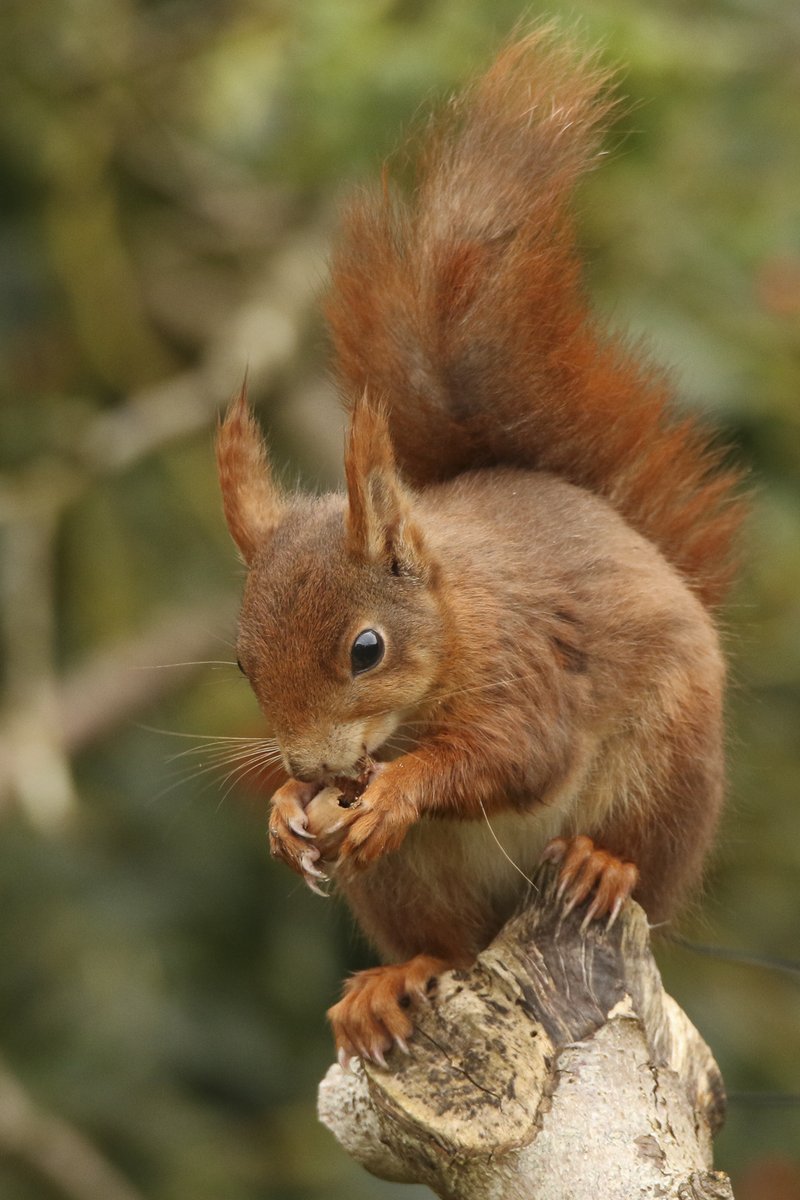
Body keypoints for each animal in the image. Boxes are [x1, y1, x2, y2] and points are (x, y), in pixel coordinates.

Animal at [212, 32, 743, 1070]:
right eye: (245, 664)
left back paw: (600, 863)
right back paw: (391, 985)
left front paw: (399, 790)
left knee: (636, 861)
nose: (318, 771)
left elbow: (519, 754)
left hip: (666, 767)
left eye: (365, 649)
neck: (453, 624)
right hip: (407, 886)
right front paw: (285, 812)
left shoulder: (526, 665)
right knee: (445, 950)